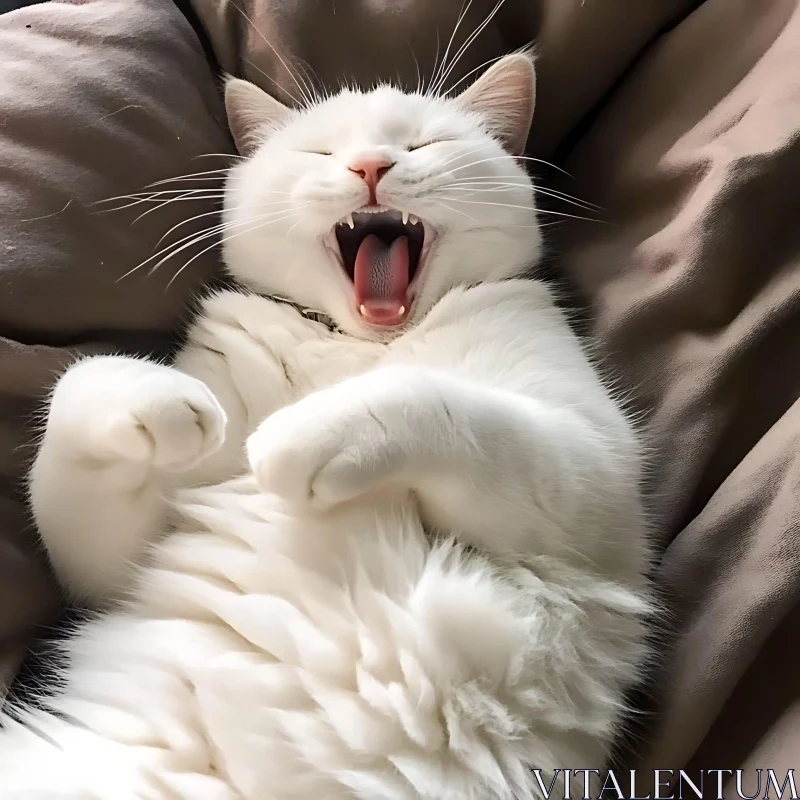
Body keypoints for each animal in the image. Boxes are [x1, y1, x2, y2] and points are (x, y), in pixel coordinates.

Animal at [0, 53, 648, 796]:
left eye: (421, 143)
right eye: (321, 151)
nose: (370, 165)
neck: (360, 344)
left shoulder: (588, 480)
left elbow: (432, 399)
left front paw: (301, 435)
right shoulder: (107, 571)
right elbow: (80, 393)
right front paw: (160, 397)